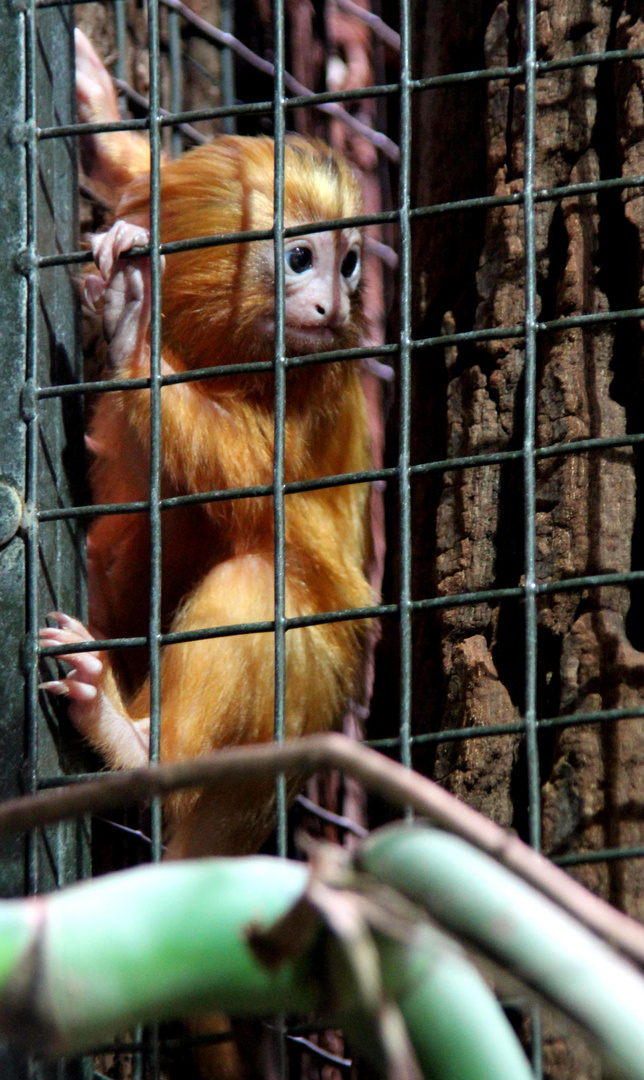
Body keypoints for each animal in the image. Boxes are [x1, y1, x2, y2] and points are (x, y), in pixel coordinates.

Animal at [40, 27, 373, 859]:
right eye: (301, 259)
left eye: (348, 262)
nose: (330, 303)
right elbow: (150, 182)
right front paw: (98, 119)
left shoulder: (316, 381)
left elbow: (264, 485)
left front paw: (133, 332)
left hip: (305, 695)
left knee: (260, 581)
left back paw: (135, 743)